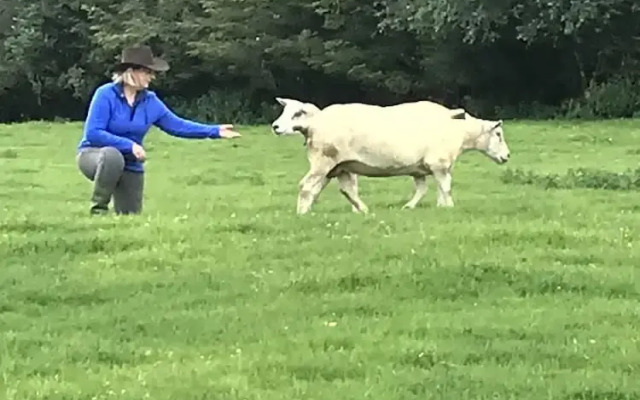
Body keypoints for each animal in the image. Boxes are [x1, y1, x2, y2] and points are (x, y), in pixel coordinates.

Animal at [288, 105, 510, 215]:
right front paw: (449, 207)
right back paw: (302, 214)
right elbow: (445, 187)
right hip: (323, 160)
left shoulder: (421, 168)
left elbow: (424, 189)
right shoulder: (439, 163)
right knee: (306, 186)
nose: (507, 156)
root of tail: (311, 124)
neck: (460, 132)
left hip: (338, 166)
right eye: (498, 134)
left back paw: (360, 210)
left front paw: (414, 207)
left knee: (341, 190)